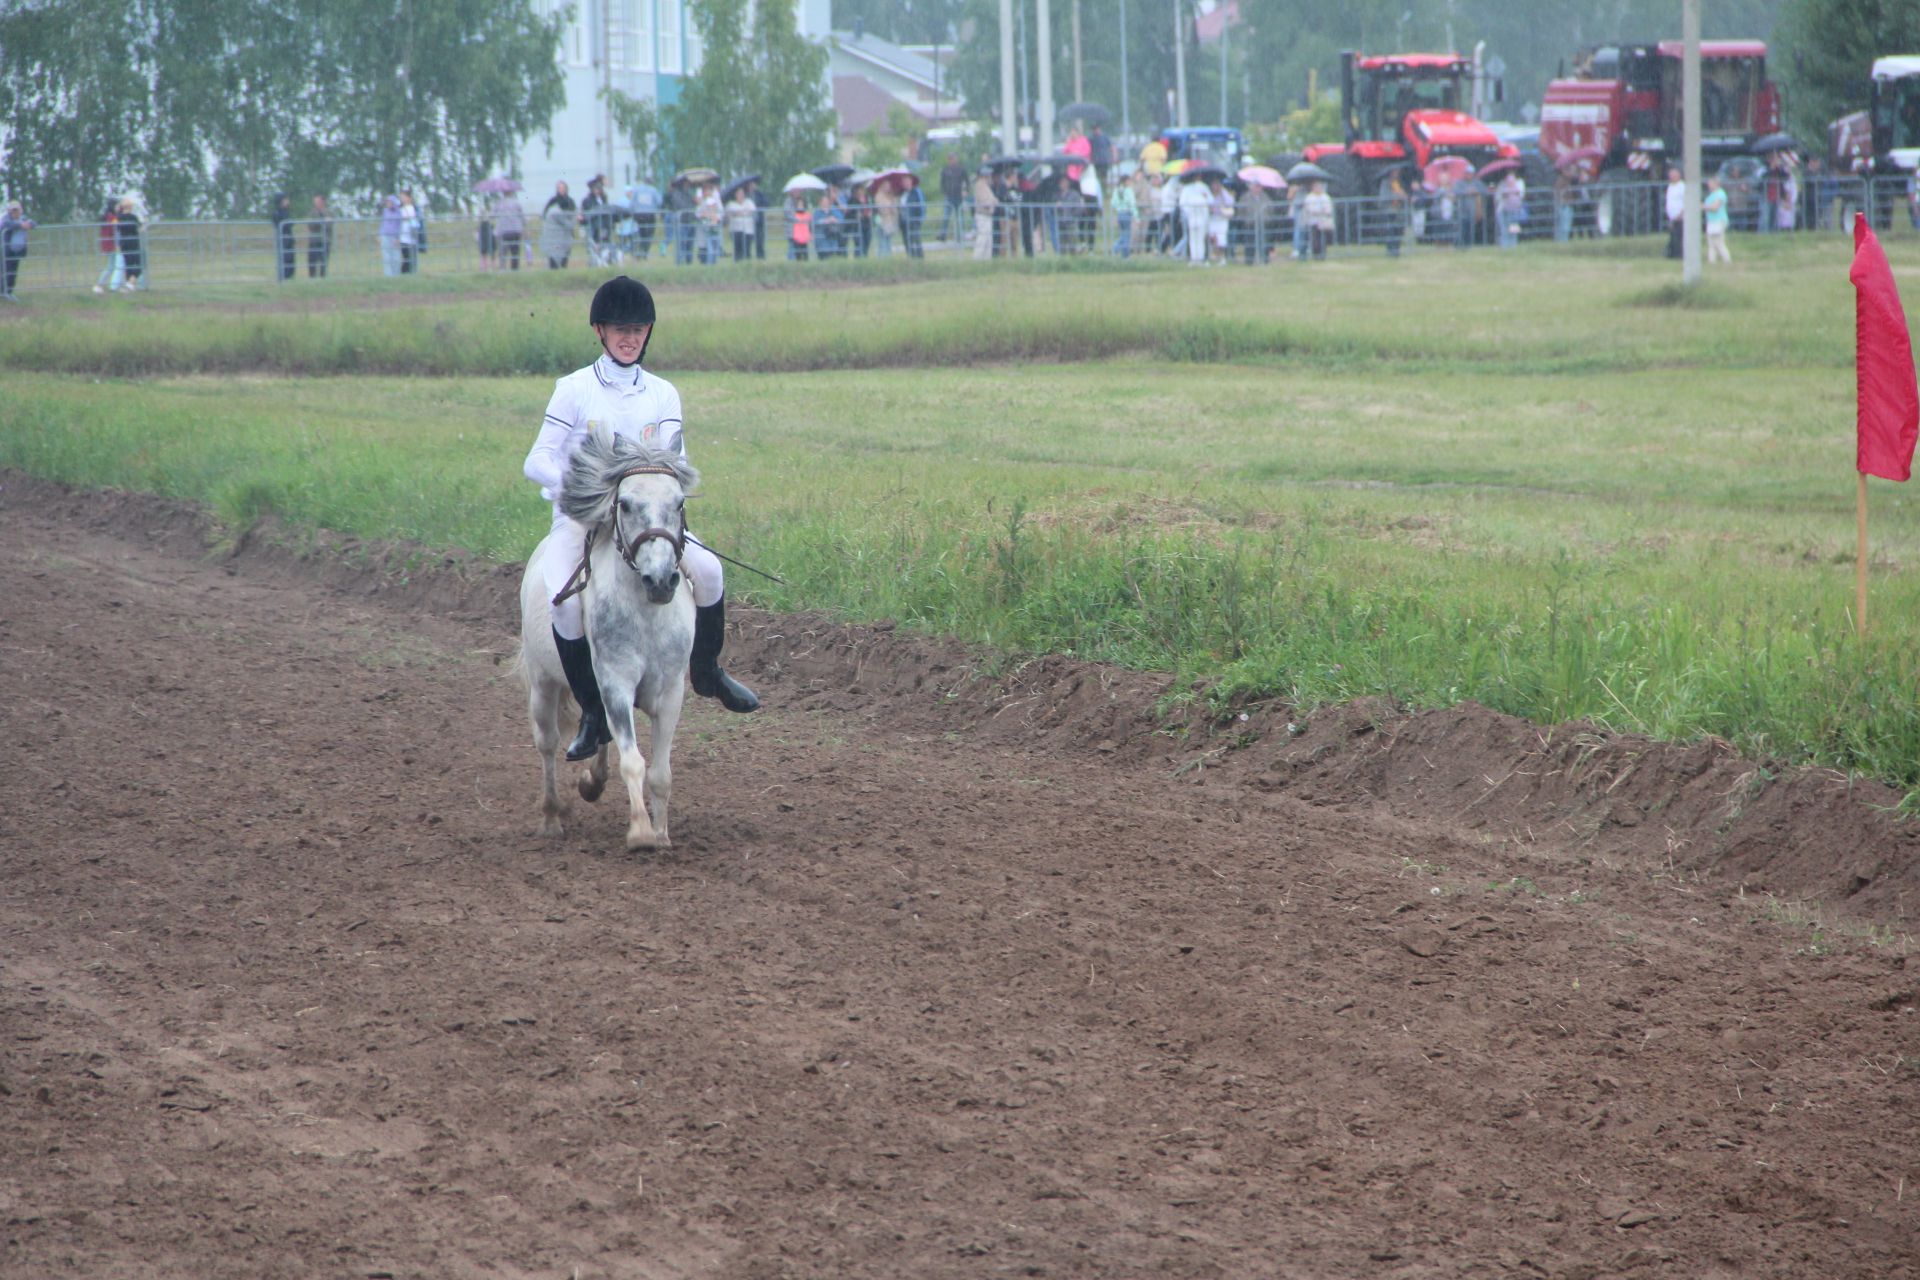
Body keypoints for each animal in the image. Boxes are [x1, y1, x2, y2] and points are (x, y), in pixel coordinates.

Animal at [522, 433, 702, 852]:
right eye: (625, 503)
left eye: (679, 502)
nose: (661, 580)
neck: (646, 613)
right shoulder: (616, 683)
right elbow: (633, 761)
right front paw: (640, 833)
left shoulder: (670, 692)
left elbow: (661, 772)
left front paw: (662, 835)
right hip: (543, 683)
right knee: (548, 743)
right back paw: (552, 817)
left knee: (597, 729)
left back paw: (592, 782)